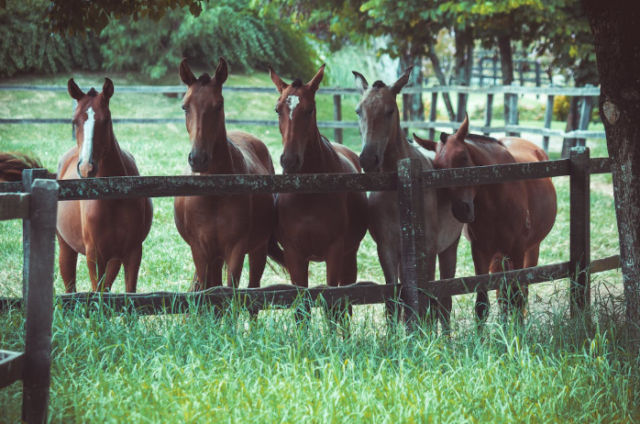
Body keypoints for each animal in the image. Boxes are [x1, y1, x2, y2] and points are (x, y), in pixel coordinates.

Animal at [174, 57, 278, 290]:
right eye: (185, 107)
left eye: (219, 105)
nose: (198, 158)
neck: (214, 195)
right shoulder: (201, 252)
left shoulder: (236, 250)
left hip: (257, 250)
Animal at [267, 64, 368, 294]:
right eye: (278, 110)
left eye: (310, 109)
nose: (290, 160)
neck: (308, 194)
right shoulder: (293, 253)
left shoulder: (335, 250)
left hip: (349, 255)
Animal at [353, 68, 463, 328]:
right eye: (358, 111)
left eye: (390, 111)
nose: (368, 159)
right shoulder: (386, 249)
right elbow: (394, 302)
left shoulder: (428, 250)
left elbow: (429, 302)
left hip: (449, 247)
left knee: (445, 301)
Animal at [414, 116, 557, 322]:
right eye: (438, 168)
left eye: (464, 157)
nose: (461, 210)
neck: (498, 200)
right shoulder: (481, 252)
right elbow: (482, 304)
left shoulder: (517, 251)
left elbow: (517, 298)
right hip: (498, 257)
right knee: (502, 295)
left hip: (530, 251)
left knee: (521, 293)